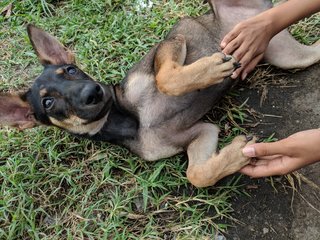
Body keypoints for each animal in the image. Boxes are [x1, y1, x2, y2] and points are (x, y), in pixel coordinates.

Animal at [0, 0, 320, 187]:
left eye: (71, 70)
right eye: (48, 102)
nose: (94, 91)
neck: (129, 119)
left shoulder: (169, 44)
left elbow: (168, 80)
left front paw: (211, 68)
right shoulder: (201, 132)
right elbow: (197, 175)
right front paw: (237, 154)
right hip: (288, 55)